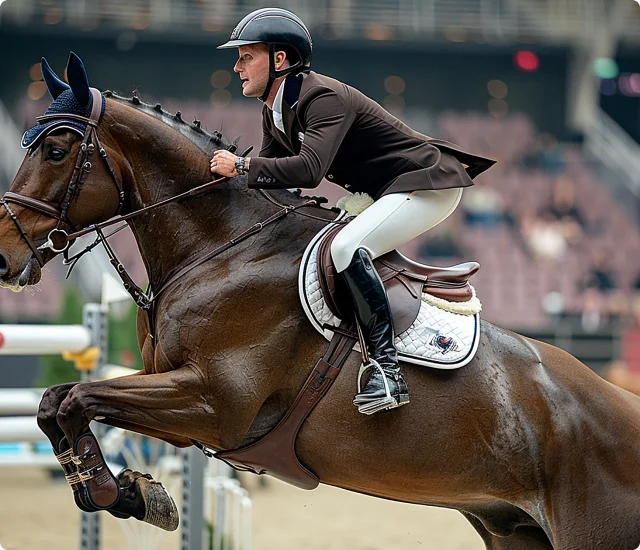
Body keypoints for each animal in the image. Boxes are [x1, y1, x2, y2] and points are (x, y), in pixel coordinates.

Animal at [2, 53, 640, 549]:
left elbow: (77, 397)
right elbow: (57, 401)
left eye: (56, 150)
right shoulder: (169, 387)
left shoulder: (212, 403)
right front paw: (130, 493)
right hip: (514, 529)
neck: (221, 247)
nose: (4, 259)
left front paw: (122, 492)